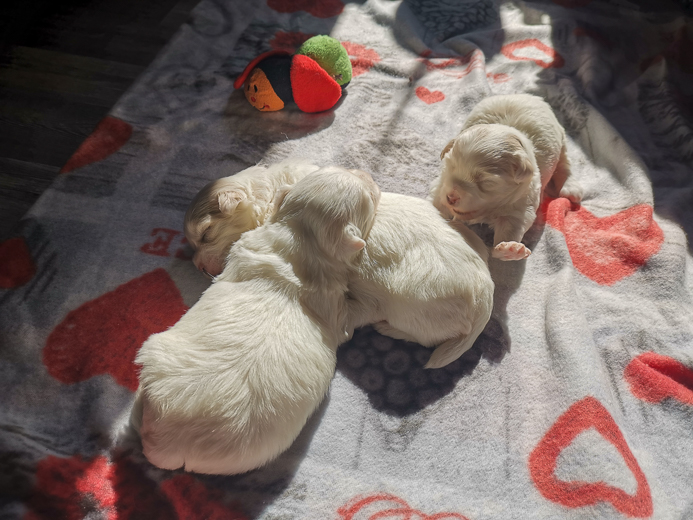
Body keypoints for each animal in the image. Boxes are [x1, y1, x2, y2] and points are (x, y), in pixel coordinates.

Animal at [430, 93, 580, 260]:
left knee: (564, 163)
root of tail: (529, 96)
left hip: (561, 139)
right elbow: (437, 202)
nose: (451, 197)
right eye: (450, 166)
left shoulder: (520, 206)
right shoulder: (441, 186)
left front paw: (510, 249)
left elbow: (511, 229)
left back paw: (570, 188)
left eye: (486, 182)